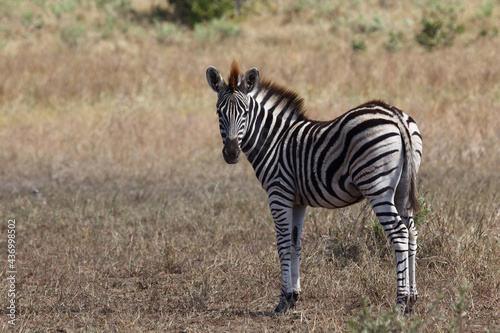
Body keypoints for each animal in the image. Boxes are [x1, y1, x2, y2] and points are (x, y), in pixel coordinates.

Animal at [206, 60, 422, 314]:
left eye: (245, 113)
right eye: (219, 112)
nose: (231, 153)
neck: (273, 140)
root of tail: (395, 115)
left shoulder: (278, 194)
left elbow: (282, 244)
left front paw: (282, 301)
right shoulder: (298, 201)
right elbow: (295, 243)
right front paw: (294, 296)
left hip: (377, 186)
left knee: (399, 233)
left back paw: (400, 303)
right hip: (402, 189)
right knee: (412, 232)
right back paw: (412, 298)